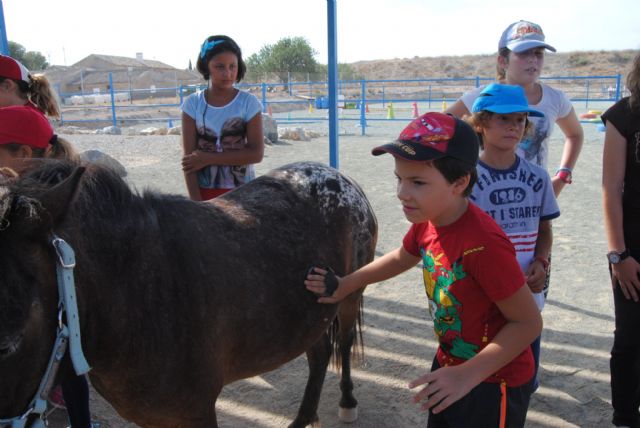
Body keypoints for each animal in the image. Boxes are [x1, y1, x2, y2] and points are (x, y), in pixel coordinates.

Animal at [0, 159, 378, 426]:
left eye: (7, 345)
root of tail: (336, 176)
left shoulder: (195, 413)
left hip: (347, 297)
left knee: (343, 345)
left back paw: (347, 402)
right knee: (319, 354)